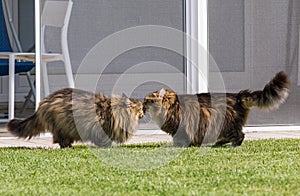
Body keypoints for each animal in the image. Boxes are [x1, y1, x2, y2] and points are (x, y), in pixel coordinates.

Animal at [6, 88, 144, 148]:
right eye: (140, 109)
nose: (143, 114)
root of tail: (44, 102)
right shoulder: (100, 127)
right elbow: (103, 139)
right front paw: (107, 146)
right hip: (62, 125)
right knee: (60, 139)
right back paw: (67, 146)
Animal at [144, 71, 290, 147]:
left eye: (147, 100)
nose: (143, 105)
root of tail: (238, 96)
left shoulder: (182, 128)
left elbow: (180, 139)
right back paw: (219, 143)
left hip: (227, 124)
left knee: (240, 135)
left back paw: (232, 145)